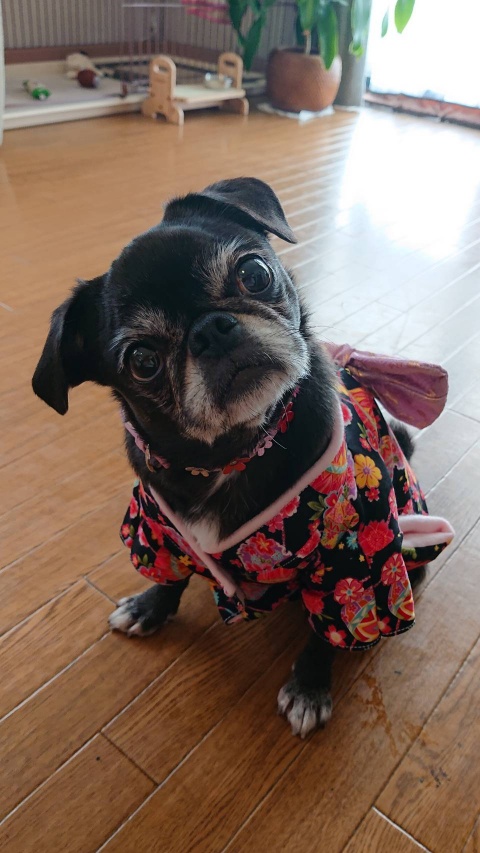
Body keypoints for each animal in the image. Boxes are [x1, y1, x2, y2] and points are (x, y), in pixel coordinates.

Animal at [33, 177, 454, 737]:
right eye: (143, 361)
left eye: (254, 274)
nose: (211, 329)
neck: (234, 453)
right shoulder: (160, 533)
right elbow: (172, 575)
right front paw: (150, 607)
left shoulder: (352, 562)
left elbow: (329, 630)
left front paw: (310, 686)